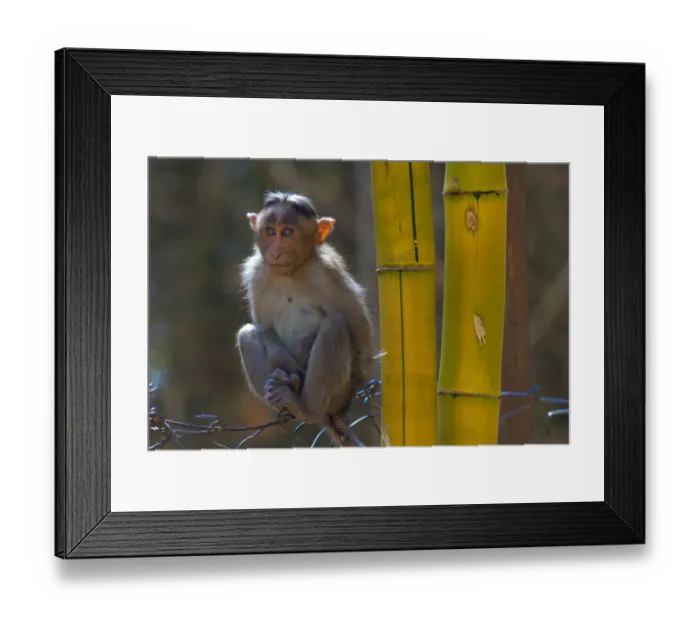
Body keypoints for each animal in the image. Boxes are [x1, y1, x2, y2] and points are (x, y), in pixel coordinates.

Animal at [235, 190, 375, 446]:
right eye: (270, 231)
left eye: (287, 232)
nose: (275, 252)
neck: (290, 272)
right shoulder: (256, 272)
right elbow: (263, 327)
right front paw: (281, 361)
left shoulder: (328, 273)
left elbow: (361, 330)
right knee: (245, 334)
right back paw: (284, 395)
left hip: (332, 394)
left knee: (334, 326)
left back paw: (306, 408)